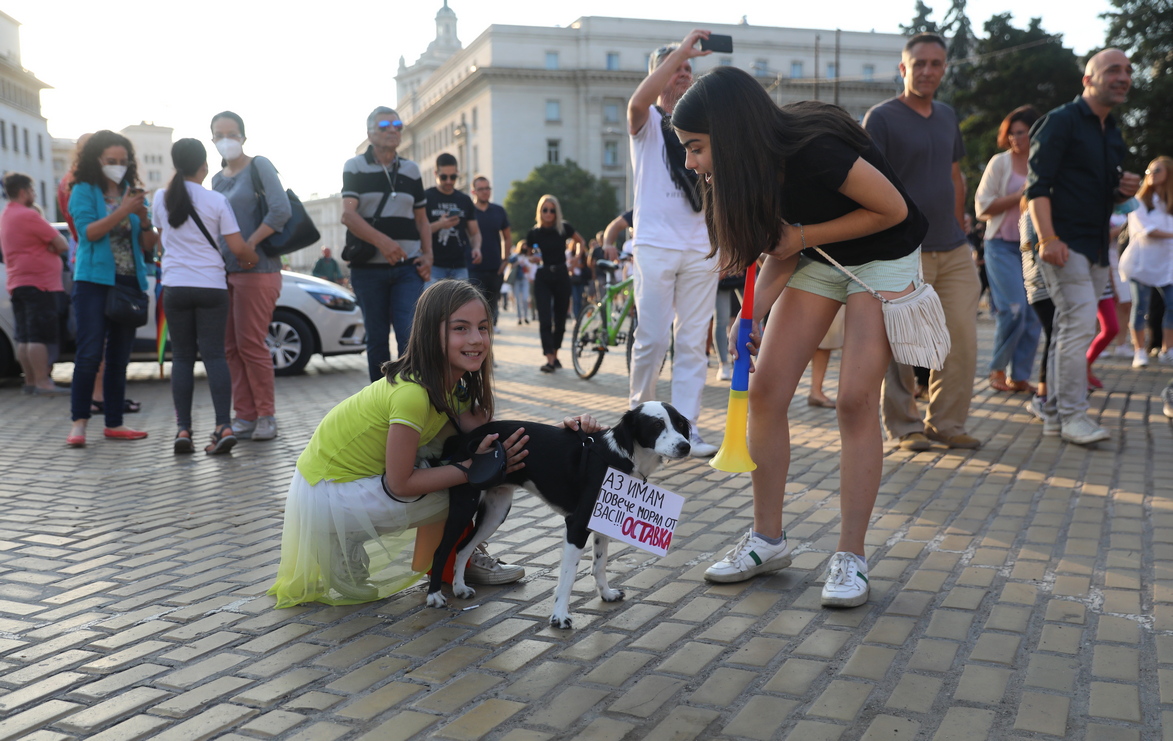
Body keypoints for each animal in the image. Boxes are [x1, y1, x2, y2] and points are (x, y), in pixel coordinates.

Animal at [426, 403, 689, 628]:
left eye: (679, 424)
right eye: (656, 425)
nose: (685, 446)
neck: (619, 457)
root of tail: (465, 438)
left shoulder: (603, 520)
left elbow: (599, 563)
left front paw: (606, 593)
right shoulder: (576, 525)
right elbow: (568, 576)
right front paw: (560, 616)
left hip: (495, 512)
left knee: (463, 547)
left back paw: (460, 588)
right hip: (464, 505)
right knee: (441, 551)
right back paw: (435, 596)